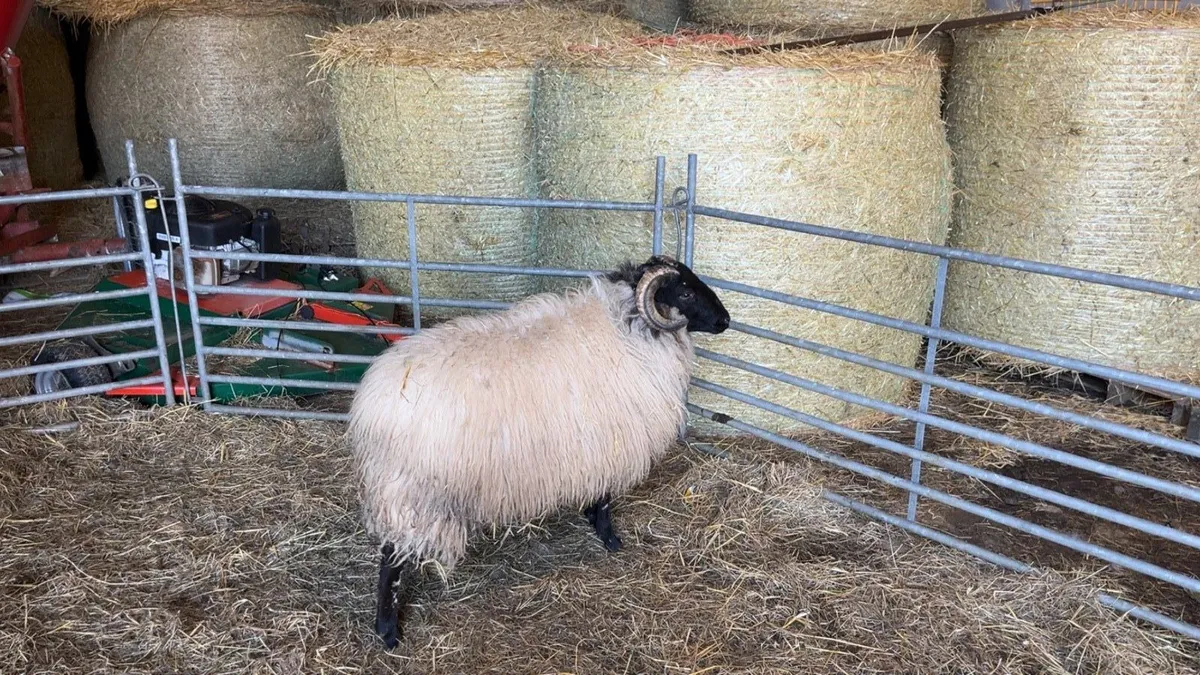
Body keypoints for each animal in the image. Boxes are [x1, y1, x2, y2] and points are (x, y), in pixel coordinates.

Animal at [346, 255, 730, 648]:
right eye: (685, 292)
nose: (726, 321)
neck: (628, 327)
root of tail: (371, 406)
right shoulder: (611, 441)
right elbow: (606, 499)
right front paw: (610, 538)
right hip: (413, 496)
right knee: (391, 561)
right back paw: (387, 632)